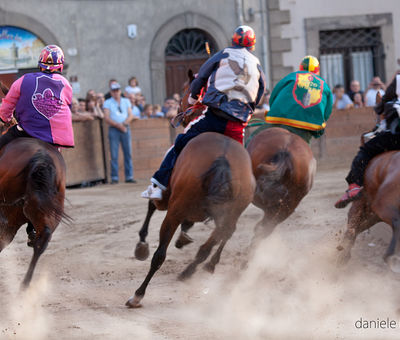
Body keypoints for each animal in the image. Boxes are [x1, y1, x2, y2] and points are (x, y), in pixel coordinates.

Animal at [126, 77, 255, 310]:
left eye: (185, 91)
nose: (179, 111)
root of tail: (223, 157)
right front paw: (185, 235)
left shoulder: (168, 199)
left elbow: (151, 204)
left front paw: (142, 245)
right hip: (231, 211)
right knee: (218, 238)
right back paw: (192, 270)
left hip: (174, 211)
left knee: (160, 255)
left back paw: (137, 295)